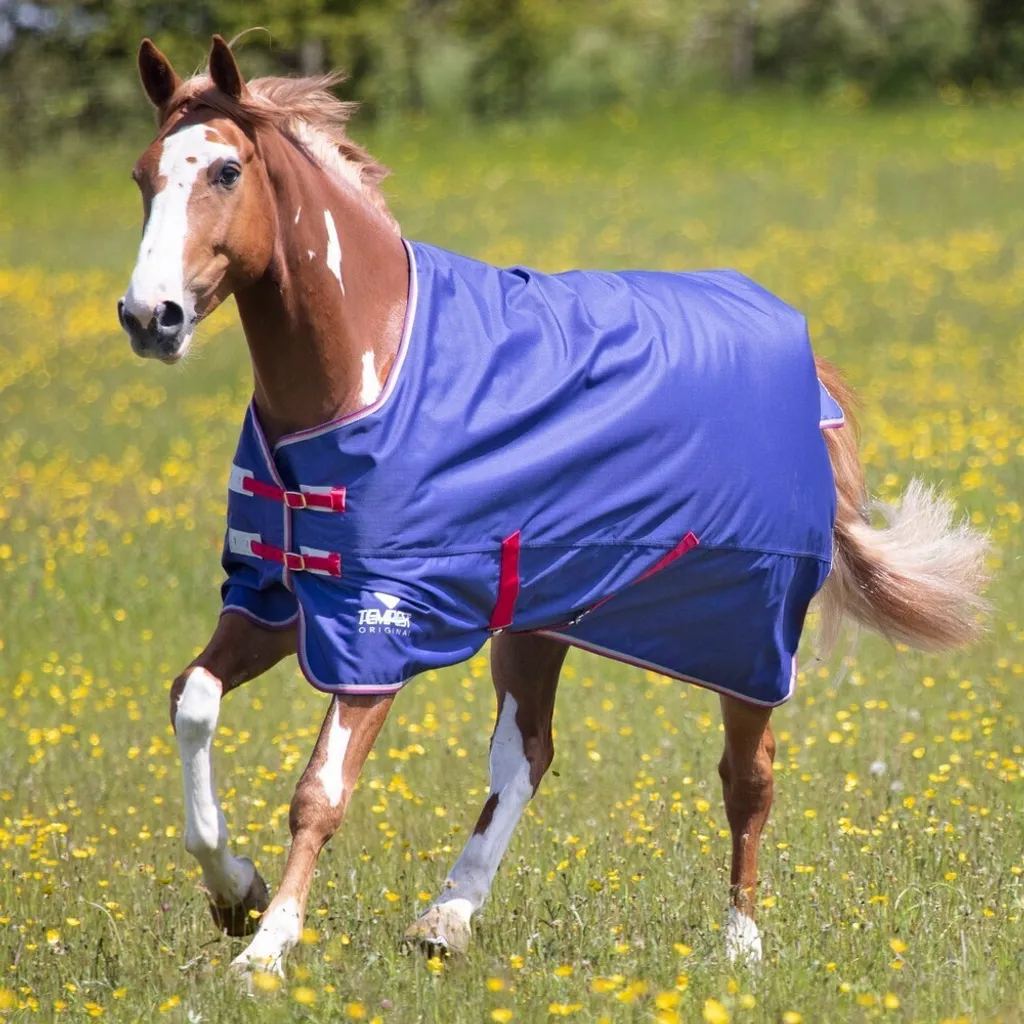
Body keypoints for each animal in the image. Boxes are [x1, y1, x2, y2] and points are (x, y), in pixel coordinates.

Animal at [117, 36, 990, 978]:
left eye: (226, 170)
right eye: (142, 174)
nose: (150, 317)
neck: (367, 365)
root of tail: (805, 361)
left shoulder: (381, 623)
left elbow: (320, 791)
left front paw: (266, 950)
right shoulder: (283, 600)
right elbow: (192, 698)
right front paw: (232, 891)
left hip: (745, 633)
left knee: (748, 778)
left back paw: (741, 945)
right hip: (541, 617)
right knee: (527, 754)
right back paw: (447, 918)